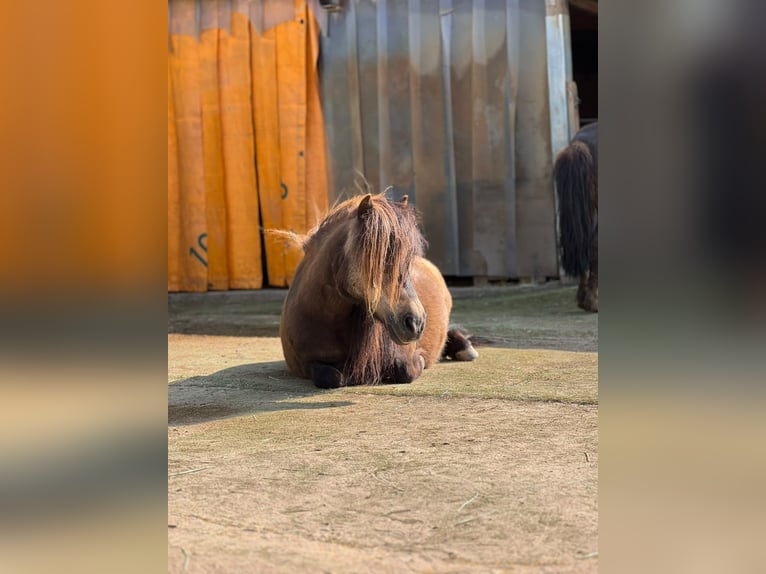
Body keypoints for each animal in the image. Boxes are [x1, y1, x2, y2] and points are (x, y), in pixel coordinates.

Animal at [280, 193, 478, 388]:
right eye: (378, 260)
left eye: (407, 261)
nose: (416, 323)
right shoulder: (306, 364)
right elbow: (330, 377)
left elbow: (405, 369)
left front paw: (421, 359)